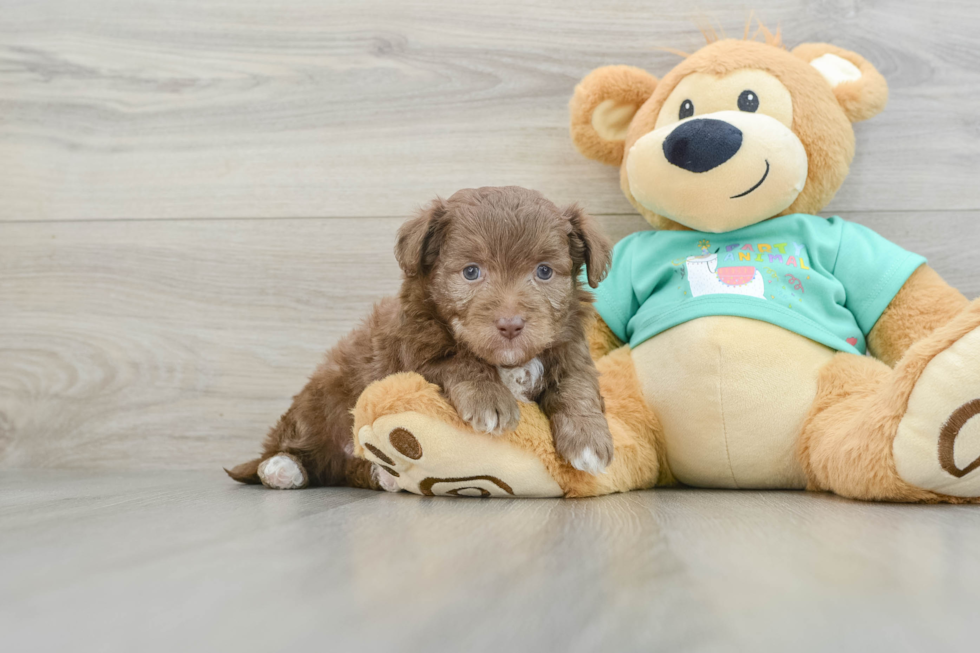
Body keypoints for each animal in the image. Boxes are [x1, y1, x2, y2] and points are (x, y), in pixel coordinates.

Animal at [229, 185, 612, 488]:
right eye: (471, 272)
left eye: (544, 272)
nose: (511, 324)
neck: (507, 362)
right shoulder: (411, 354)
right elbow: (457, 360)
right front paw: (489, 398)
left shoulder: (571, 352)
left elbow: (577, 388)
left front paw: (589, 438)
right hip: (319, 403)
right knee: (297, 448)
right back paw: (282, 468)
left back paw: (383, 475)